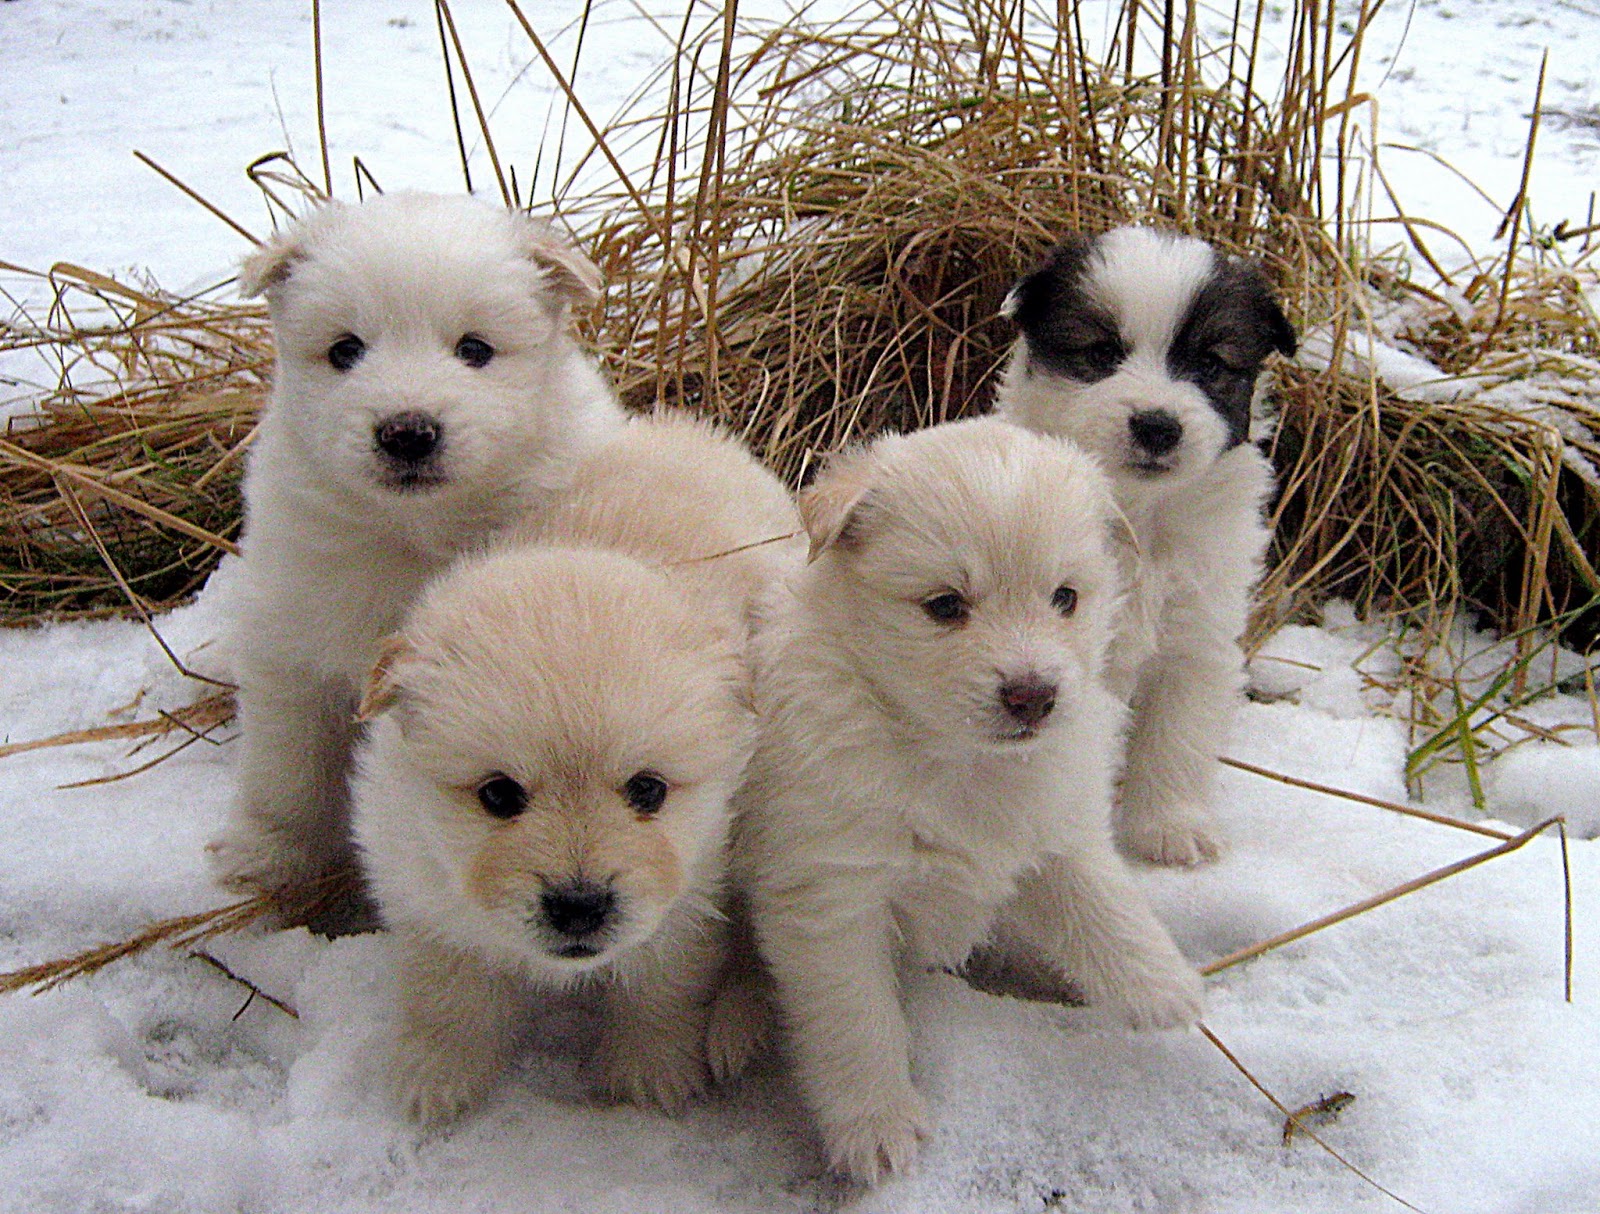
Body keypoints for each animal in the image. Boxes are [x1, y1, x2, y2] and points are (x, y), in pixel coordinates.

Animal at [206, 192, 624, 906]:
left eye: (475, 349)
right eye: (345, 350)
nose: (407, 432)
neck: (419, 532)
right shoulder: (292, 648)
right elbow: (287, 767)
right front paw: (264, 855)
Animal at [350, 413, 804, 1122]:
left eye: (647, 790)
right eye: (499, 795)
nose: (579, 905)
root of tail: (688, 432)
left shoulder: (688, 902)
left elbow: (659, 995)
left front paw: (648, 1076)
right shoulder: (422, 891)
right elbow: (446, 998)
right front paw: (437, 1080)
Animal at [732, 417, 1204, 1184]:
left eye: (1065, 597)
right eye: (946, 605)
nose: (1033, 696)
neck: (958, 760)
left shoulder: (1055, 830)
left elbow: (1102, 901)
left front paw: (1166, 987)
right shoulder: (832, 900)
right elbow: (857, 1024)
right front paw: (878, 1129)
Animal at [995, 227, 1296, 866]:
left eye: (1210, 363)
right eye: (1101, 353)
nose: (1158, 426)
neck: (1140, 517)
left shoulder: (1197, 639)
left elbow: (1176, 738)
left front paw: (1169, 828)